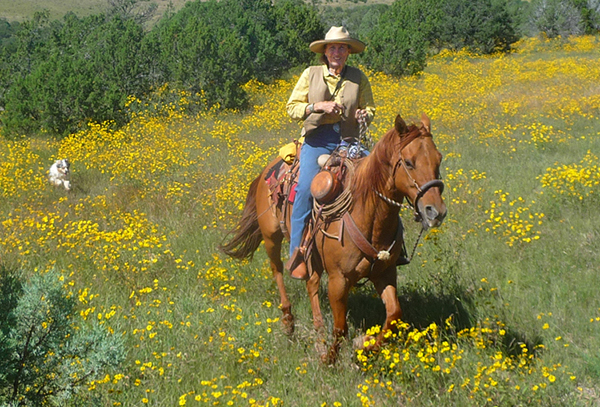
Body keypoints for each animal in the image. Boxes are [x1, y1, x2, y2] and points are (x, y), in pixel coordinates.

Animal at [220, 115, 446, 364]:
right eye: (408, 162)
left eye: (438, 159)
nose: (435, 211)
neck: (367, 213)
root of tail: (267, 170)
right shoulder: (338, 279)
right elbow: (340, 327)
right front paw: (329, 359)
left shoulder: (385, 273)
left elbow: (394, 315)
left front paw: (365, 345)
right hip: (271, 238)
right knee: (277, 270)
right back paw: (289, 322)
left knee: (311, 282)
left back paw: (319, 333)